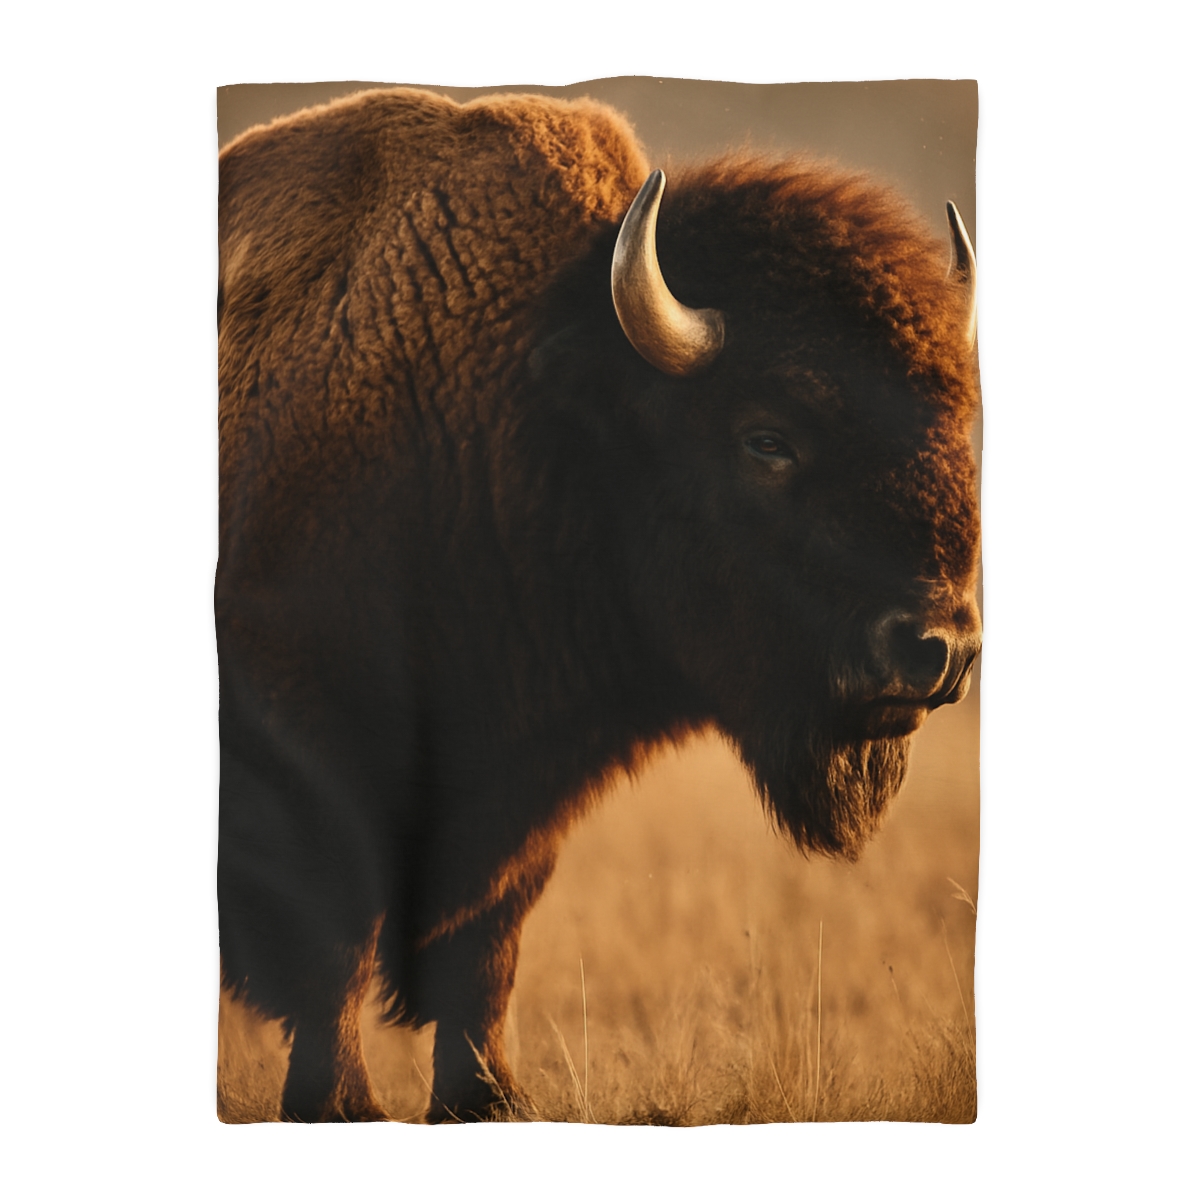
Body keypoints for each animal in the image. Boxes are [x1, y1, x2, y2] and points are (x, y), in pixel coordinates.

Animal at [217, 86, 982, 1122]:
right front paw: (342, 1106)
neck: (526, 416)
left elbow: (485, 945)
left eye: (954, 424)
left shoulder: (523, 789)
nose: (939, 648)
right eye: (767, 437)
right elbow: (331, 943)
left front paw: (488, 1097)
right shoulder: (306, 755)